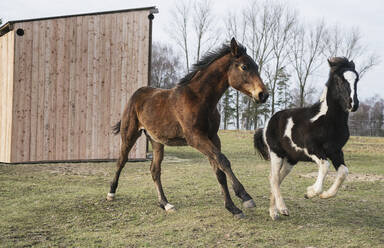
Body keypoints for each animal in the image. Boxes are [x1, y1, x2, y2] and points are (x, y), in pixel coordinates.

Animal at [255, 57, 360, 220]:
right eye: (338, 80)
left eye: (357, 79)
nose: (353, 104)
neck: (326, 120)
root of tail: (268, 122)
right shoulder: (312, 149)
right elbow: (325, 165)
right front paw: (310, 192)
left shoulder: (336, 151)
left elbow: (343, 172)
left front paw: (324, 195)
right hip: (276, 154)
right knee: (273, 178)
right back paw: (280, 209)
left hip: (291, 159)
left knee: (277, 178)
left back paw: (276, 212)